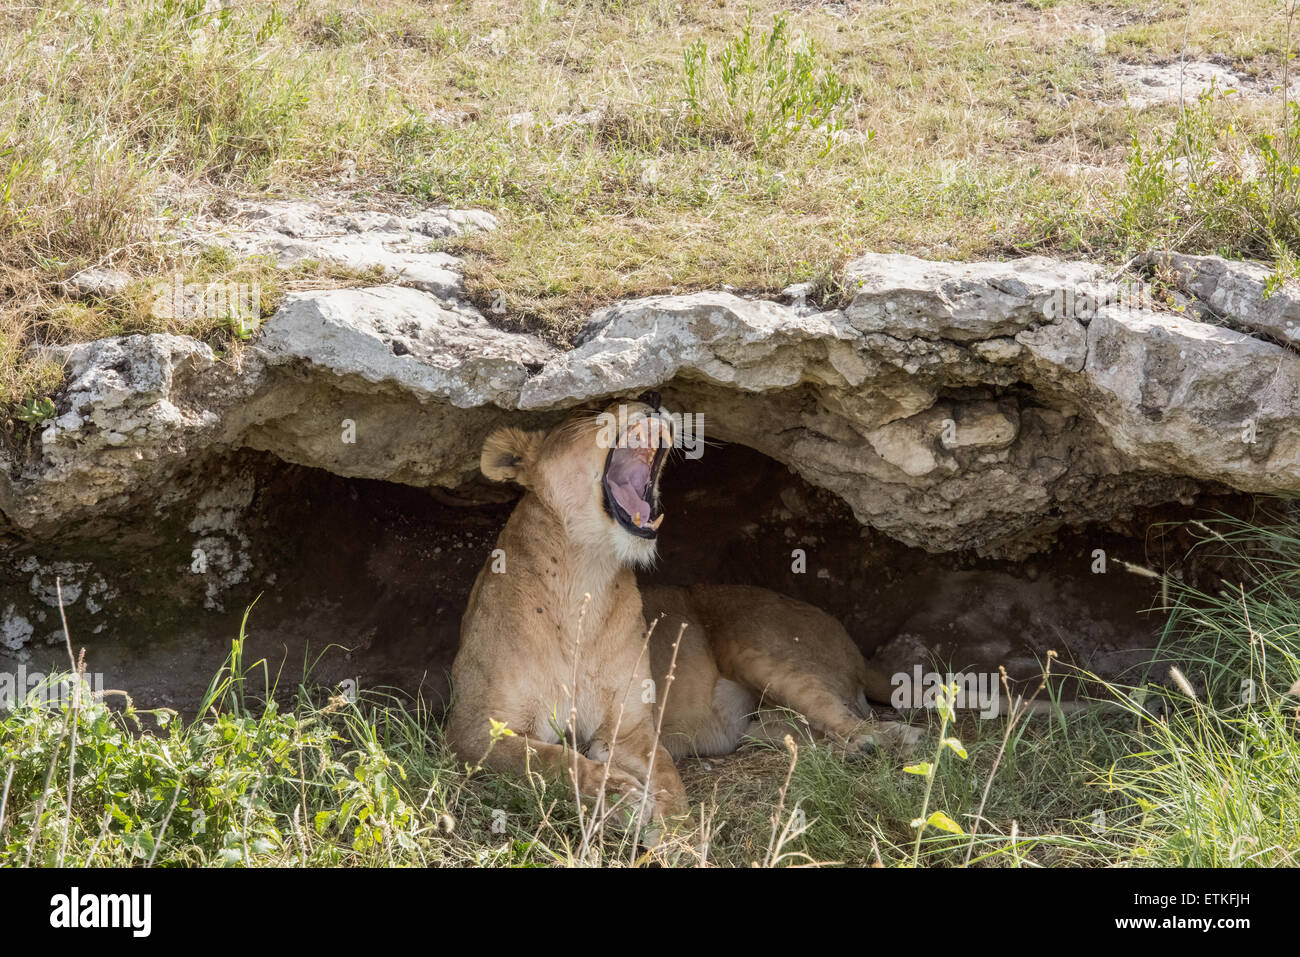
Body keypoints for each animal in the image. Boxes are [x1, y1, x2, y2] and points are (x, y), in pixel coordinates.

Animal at [452, 397, 920, 821]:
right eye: (588, 411)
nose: (655, 398)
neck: (585, 579)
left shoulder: (631, 727)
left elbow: (666, 779)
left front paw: (670, 833)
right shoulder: (475, 733)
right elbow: (554, 762)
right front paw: (621, 793)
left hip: (758, 647)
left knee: (843, 713)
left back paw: (883, 739)